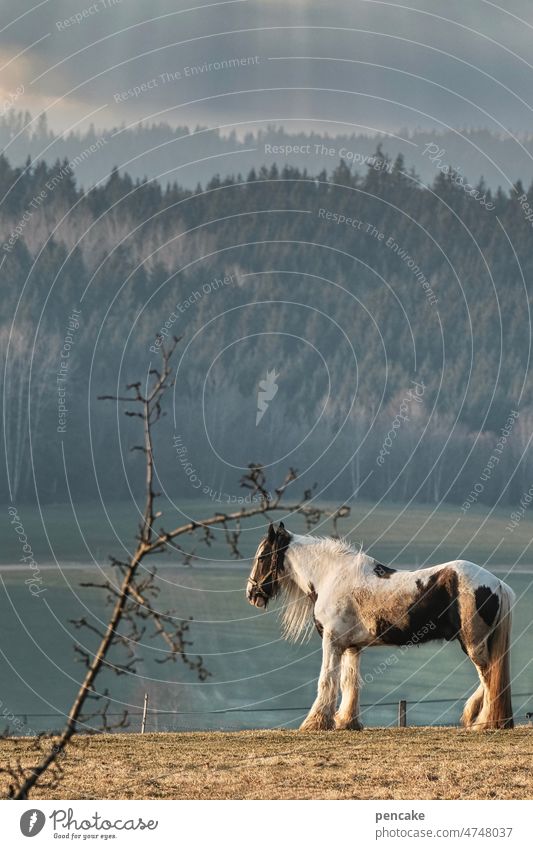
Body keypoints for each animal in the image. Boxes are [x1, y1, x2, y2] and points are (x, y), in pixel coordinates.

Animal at [246, 524, 516, 728]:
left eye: (262, 557)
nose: (251, 593)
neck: (332, 576)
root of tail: (497, 583)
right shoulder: (352, 647)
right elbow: (348, 682)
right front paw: (346, 722)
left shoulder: (331, 642)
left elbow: (327, 680)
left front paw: (315, 723)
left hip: (473, 644)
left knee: (489, 677)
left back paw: (483, 721)